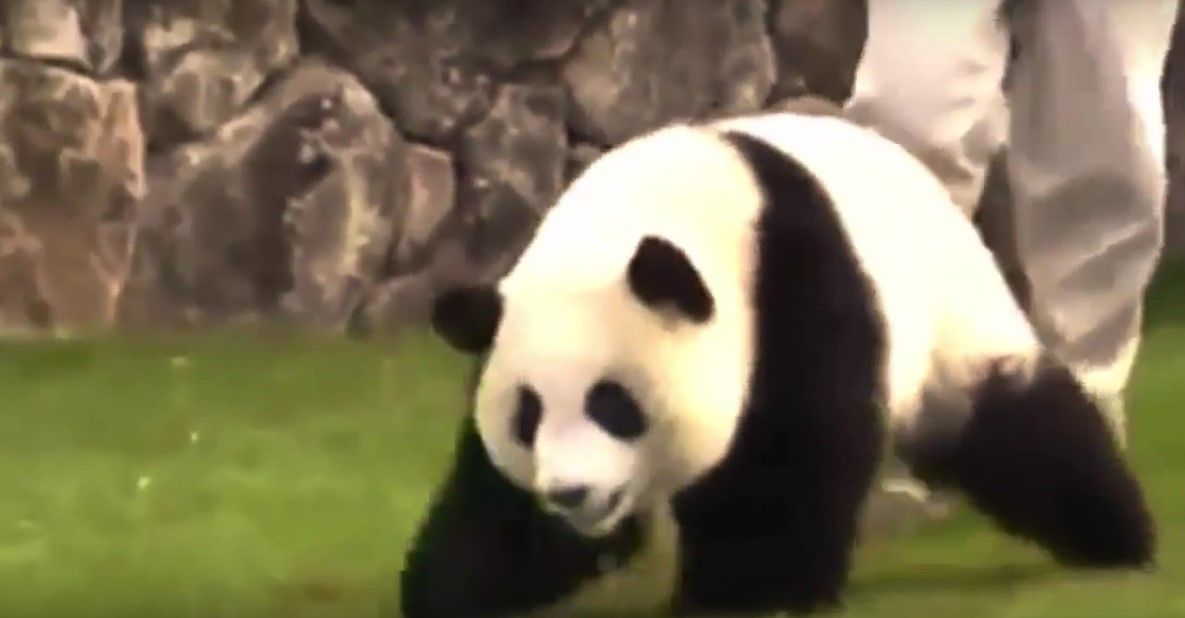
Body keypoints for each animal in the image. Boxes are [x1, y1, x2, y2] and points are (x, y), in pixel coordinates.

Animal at [399, 110, 1156, 616]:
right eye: (527, 416)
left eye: (612, 403)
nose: (571, 494)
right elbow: (492, 503)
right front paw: (462, 584)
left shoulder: (790, 284)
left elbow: (789, 453)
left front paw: (750, 592)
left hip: (948, 321)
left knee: (1013, 425)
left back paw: (1117, 537)